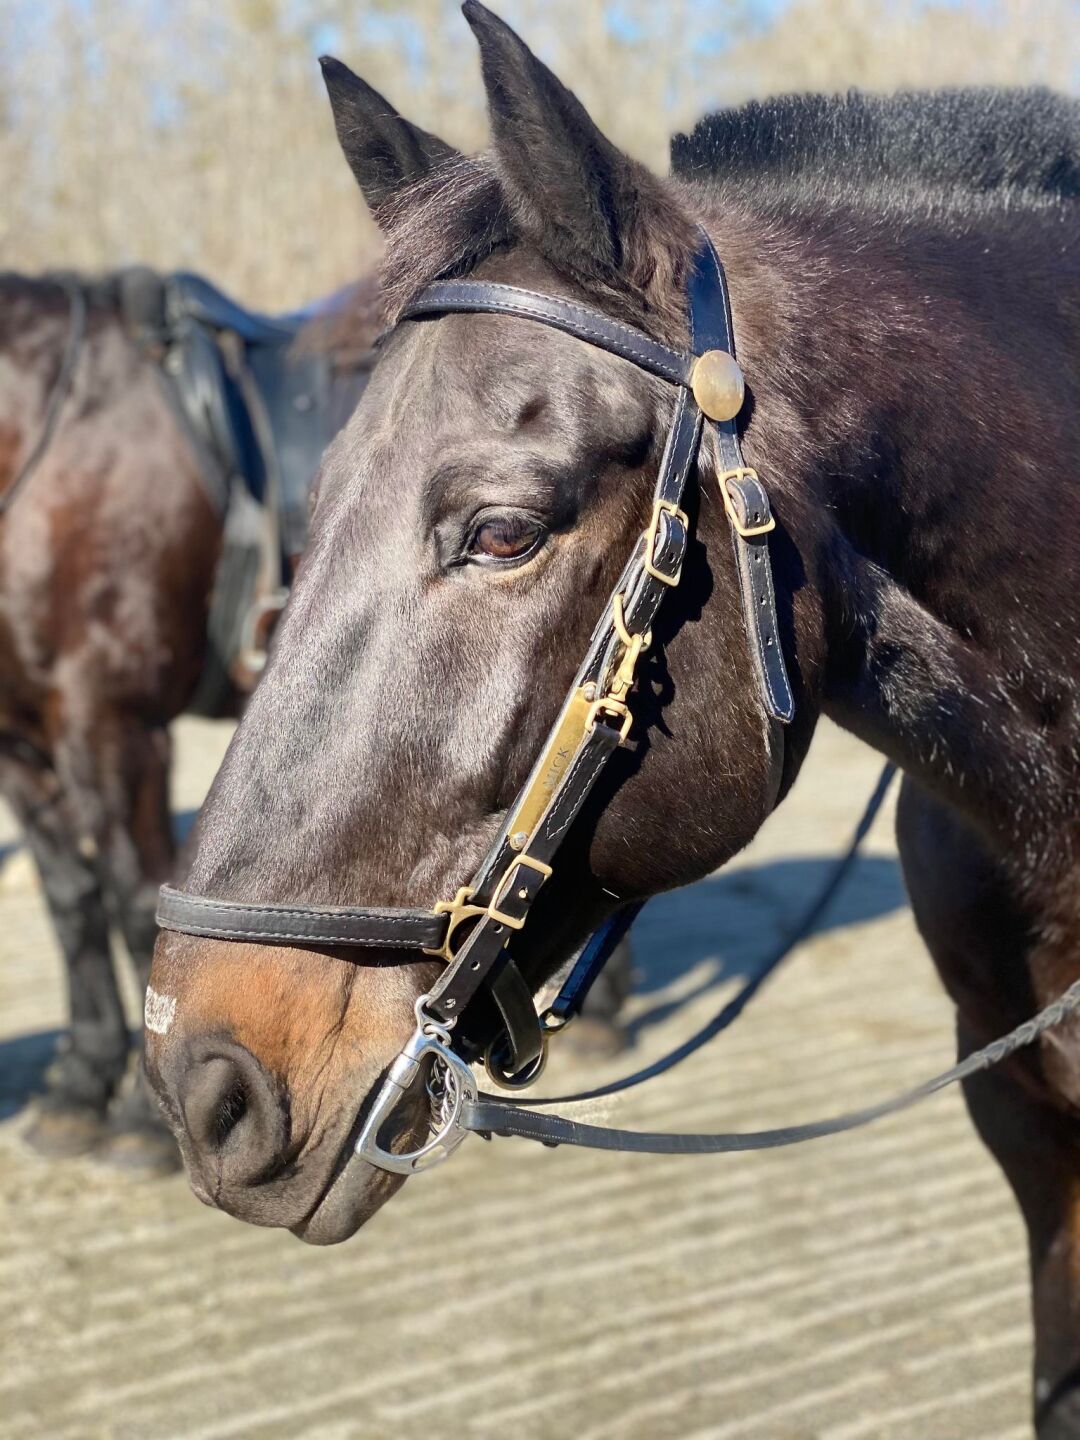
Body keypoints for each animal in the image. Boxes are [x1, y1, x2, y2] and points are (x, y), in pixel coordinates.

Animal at [0, 267, 376, 1169]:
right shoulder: (19, 740)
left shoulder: (112, 723)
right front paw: (78, 1086)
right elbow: (71, 899)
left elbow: (135, 896)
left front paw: (142, 1120)